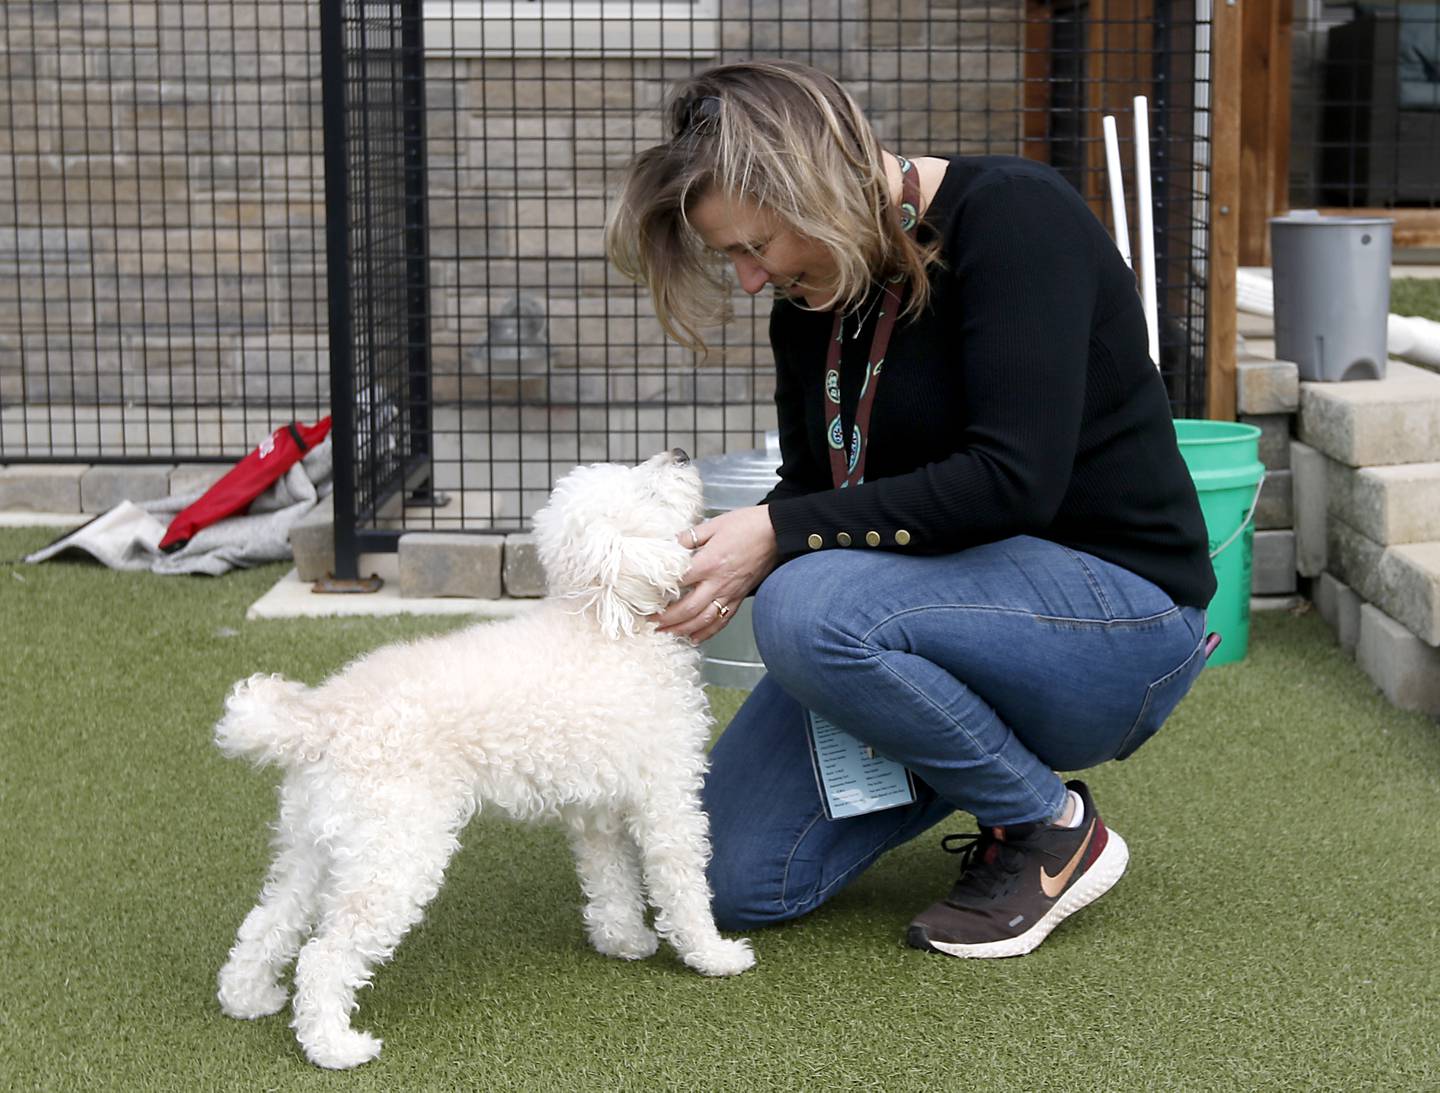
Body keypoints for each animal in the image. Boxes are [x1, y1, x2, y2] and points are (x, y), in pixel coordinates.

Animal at [217, 452, 754, 1071]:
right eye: (647, 489)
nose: (681, 455)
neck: (608, 621)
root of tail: (322, 716)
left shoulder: (597, 810)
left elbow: (612, 881)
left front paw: (625, 942)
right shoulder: (666, 798)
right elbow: (683, 887)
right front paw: (713, 955)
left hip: (316, 845)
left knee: (268, 921)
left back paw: (248, 998)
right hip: (394, 854)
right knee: (324, 955)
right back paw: (335, 1046)